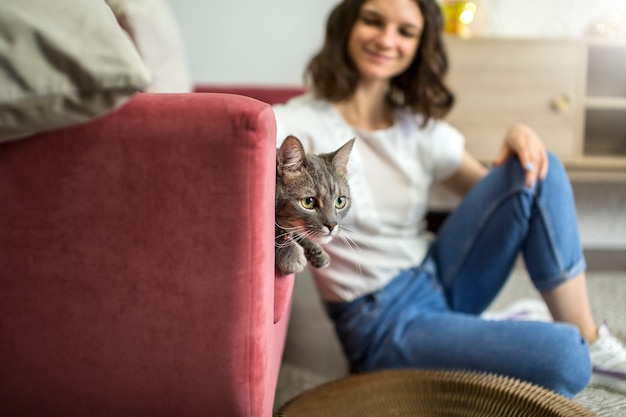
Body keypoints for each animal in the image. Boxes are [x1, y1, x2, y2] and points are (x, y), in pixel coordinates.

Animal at [274, 135, 354, 274]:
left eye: (340, 201)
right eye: (309, 202)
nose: (332, 225)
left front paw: (315, 251)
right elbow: (275, 230)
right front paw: (291, 254)